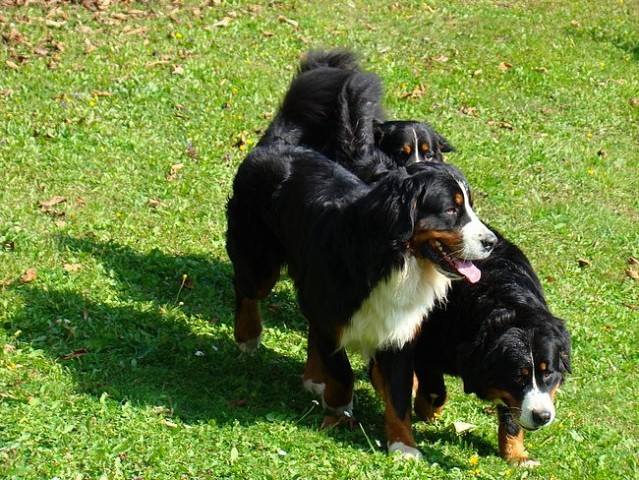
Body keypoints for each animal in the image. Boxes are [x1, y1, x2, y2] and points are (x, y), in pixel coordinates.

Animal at [225, 140, 500, 458]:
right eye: (451, 209)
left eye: (469, 207)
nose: (492, 242)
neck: (395, 261)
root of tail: (271, 146)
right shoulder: (333, 315)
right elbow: (342, 371)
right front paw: (339, 405)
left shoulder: (399, 331)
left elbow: (399, 397)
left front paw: (403, 446)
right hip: (260, 263)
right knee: (246, 291)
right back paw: (248, 335)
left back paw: (313, 377)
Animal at [416, 229, 576, 464]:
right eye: (518, 376)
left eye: (548, 373)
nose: (542, 416)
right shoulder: (423, 349)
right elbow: (435, 391)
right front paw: (424, 413)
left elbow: (510, 416)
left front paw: (516, 455)